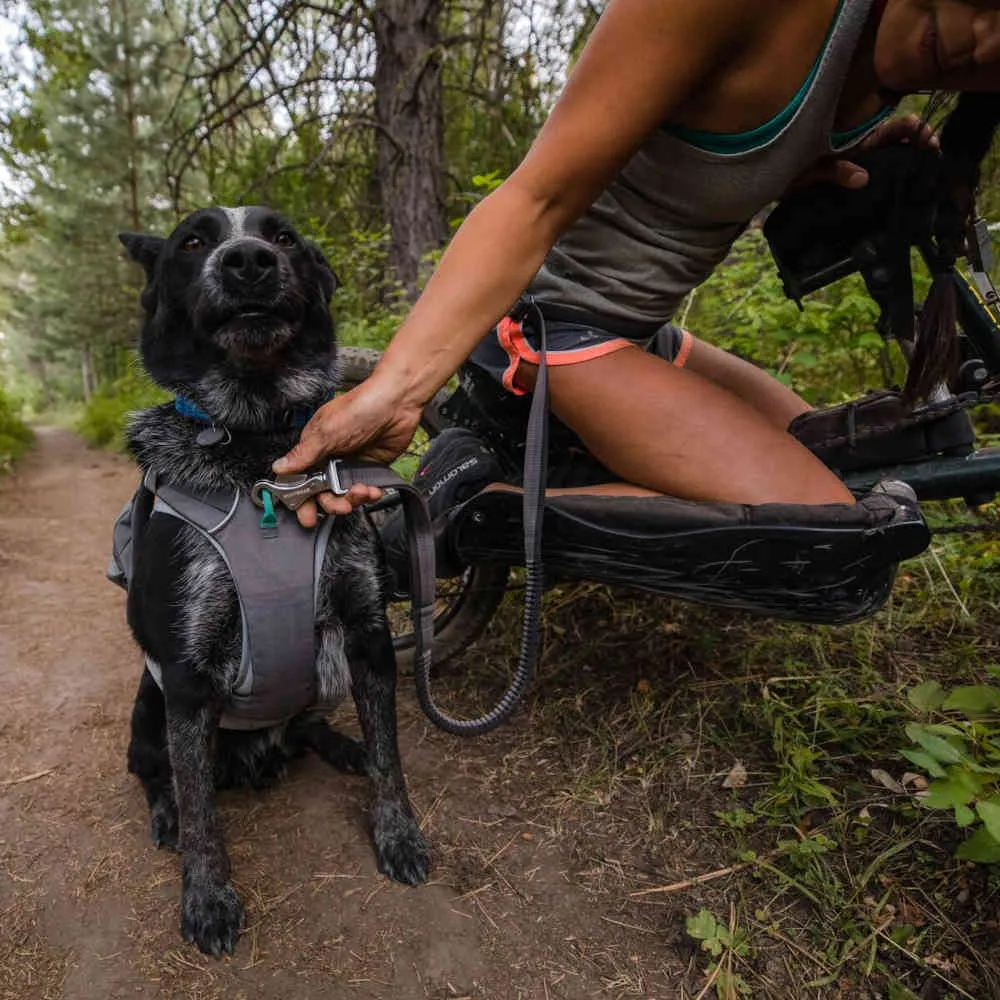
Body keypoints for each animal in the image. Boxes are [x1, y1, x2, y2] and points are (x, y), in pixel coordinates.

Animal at [119, 207, 428, 956]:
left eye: (283, 237)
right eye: (193, 242)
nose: (249, 261)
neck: (255, 446)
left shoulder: (369, 634)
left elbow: (391, 755)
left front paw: (398, 833)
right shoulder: (186, 674)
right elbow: (202, 810)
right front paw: (207, 899)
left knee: (309, 724)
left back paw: (342, 746)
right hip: (147, 704)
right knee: (158, 773)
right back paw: (166, 812)